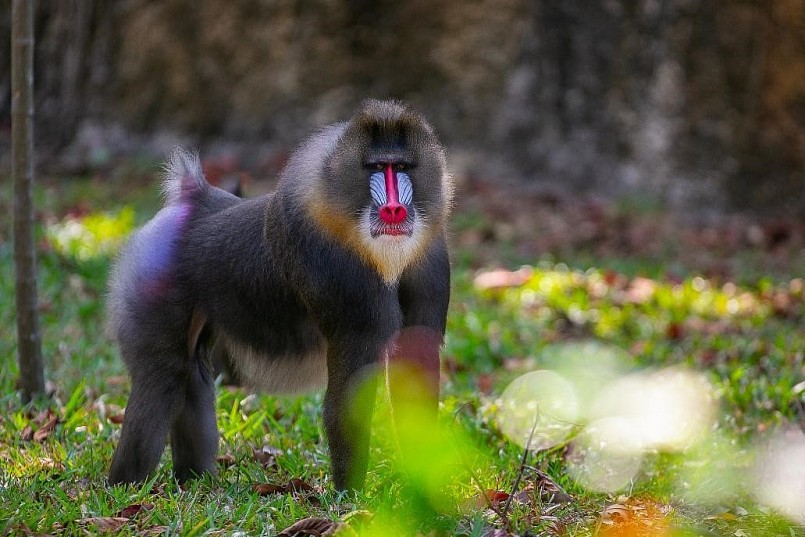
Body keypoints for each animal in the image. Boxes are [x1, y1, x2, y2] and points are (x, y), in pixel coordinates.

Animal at [106, 100, 453, 491]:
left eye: (403, 167)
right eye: (377, 167)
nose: (394, 209)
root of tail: (195, 200)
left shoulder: (430, 262)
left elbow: (416, 359)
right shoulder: (344, 284)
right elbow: (350, 393)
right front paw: (351, 495)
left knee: (192, 377)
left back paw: (196, 481)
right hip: (153, 291)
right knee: (161, 379)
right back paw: (124, 486)